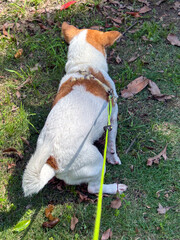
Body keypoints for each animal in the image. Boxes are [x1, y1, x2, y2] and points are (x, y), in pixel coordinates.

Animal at [22, 21, 126, 196]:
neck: (84, 66)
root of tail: (53, 162)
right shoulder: (112, 117)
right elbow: (111, 142)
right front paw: (113, 156)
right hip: (97, 162)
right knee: (93, 188)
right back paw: (115, 188)